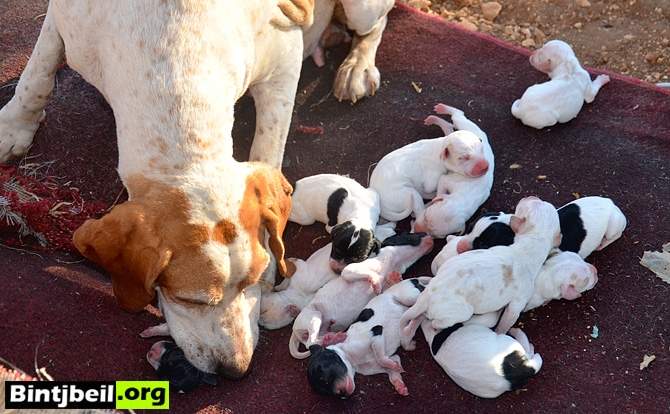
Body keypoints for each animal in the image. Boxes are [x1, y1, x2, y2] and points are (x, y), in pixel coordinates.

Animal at [290, 233, 436, 360]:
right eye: (410, 234)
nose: (430, 236)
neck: (392, 262)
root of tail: (294, 329)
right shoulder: (349, 270)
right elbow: (370, 275)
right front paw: (376, 282)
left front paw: (392, 279)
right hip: (314, 316)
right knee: (310, 343)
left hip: (322, 328)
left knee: (316, 341)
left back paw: (332, 338)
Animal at [414, 105, 498, 238]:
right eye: (426, 217)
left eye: (435, 236)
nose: (417, 229)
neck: (463, 200)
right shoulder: (447, 180)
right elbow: (441, 187)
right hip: (465, 126)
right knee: (458, 116)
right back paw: (441, 111)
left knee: (449, 127)